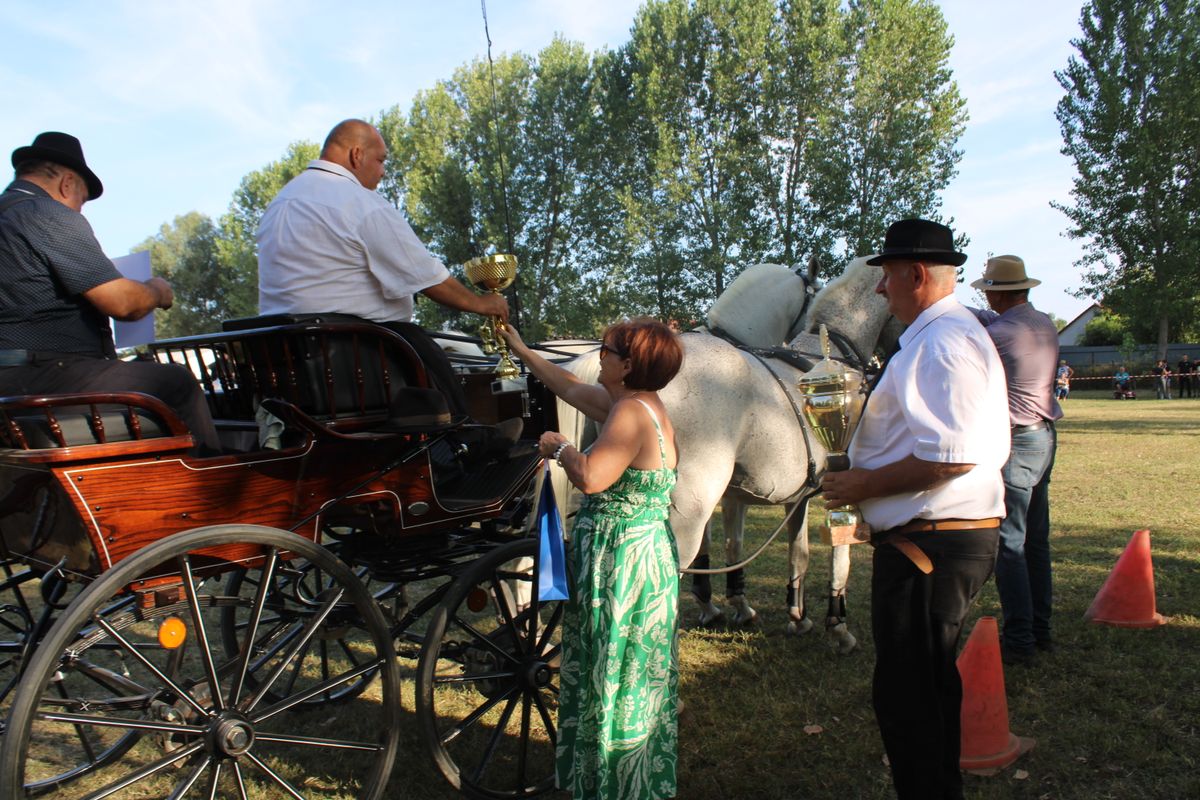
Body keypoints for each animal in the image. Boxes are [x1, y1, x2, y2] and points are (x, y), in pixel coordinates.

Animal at [552, 260, 892, 652]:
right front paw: (837, 626)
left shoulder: (776, 495)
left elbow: (784, 550)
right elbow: (838, 553)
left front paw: (791, 614)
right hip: (687, 508)